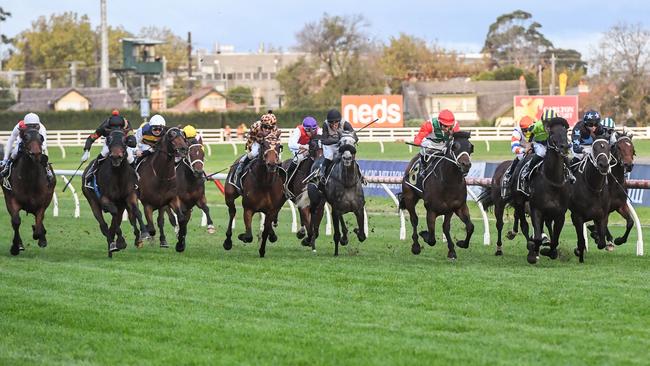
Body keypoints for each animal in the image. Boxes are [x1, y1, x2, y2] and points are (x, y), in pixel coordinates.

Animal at [81, 130, 149, 258]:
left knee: (120, 220)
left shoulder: (130, 195)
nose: (116, 157)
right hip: (92, 201)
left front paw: (144, 233)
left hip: (121, 204)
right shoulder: (105, 199)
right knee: (104, 225)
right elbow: (114, 214)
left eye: (125, 141)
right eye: (109, 140)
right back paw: (112, 246)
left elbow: (137, 212)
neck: (118, 176)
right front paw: (121, 242)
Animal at [398, 132, 474, 260]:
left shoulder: (456, 207)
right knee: (414, 220)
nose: (466, 165)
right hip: (409, 197)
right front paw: (424, 234)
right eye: (454, 146)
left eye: (471, 147)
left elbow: (467, 227)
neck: (449, 182)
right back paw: (416, 246)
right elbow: (432, 239)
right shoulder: (431, 210)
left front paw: (457, 246)